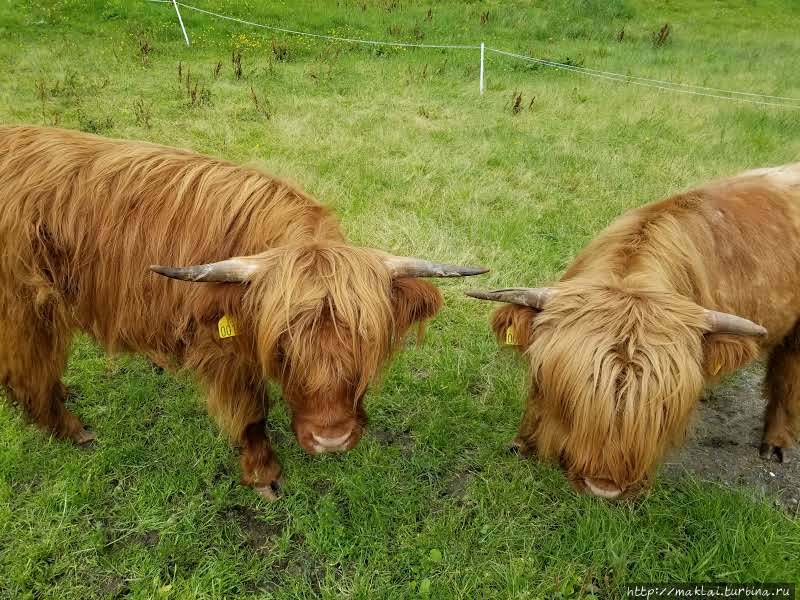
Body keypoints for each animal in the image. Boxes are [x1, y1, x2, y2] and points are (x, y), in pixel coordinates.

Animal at [0, 125, 488, 496]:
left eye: (366, 342)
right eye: (282, 347)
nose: (331, 440)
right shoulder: (224, 353)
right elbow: (252, 413)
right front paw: (264, 476)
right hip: (25, 308)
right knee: (31, 368)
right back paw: (68, 427)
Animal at [468, 163, 800, 496]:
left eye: (662, 414)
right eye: (569, 399)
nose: (603, 486)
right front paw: (523, 444)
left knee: (786, 375)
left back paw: (775, 443)